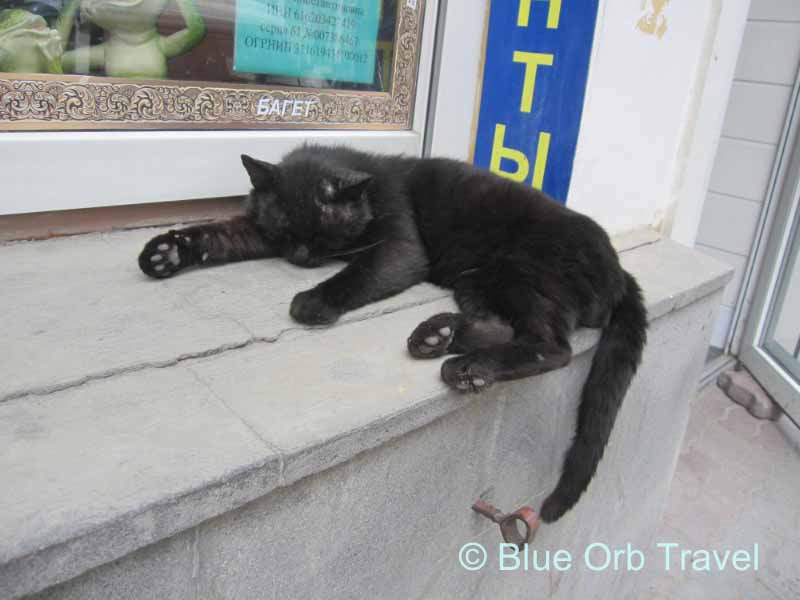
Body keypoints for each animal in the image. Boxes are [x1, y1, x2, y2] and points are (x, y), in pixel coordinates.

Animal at [139, 144, 648, 520]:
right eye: (285, 230)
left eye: (323, 234)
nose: (301, 258)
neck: (372, 183)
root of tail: (619, 269)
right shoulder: (256, 231)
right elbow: (217, 233)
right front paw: (166, 251)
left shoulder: (400, 247)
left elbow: (360, 272)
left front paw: (313, 301)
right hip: (480, 281)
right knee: (502, 325)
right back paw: (438, 337)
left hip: (520, 272)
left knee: (552, 347)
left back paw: (465, 364)